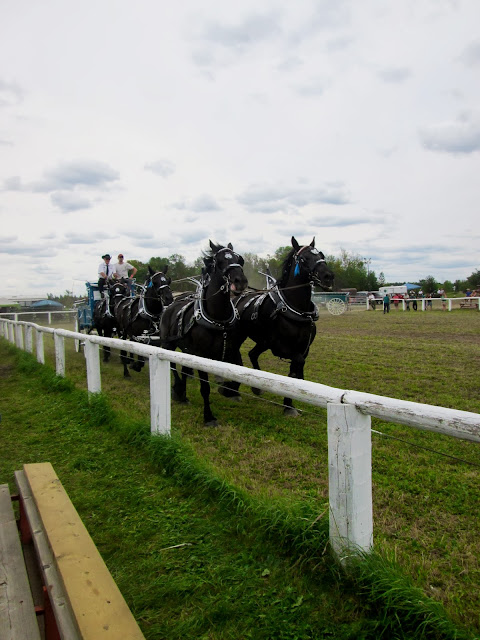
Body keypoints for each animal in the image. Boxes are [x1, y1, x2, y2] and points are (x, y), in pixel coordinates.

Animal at [160, 241, 248, 426]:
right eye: (219, 261)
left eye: (238, 259)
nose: (241, 281)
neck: (219, 320)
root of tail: (170, 306)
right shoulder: (201, 355)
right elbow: (205, 388)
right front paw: (208, 416)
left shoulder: (232, 350)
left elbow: (238, 376)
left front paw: (227, 391)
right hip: (168, 344)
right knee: (173, 366)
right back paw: (178, 390)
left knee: (185, 369)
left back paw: (183, 393)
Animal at [230, 236, 334, 416]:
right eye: (303, 258)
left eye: (321, 255)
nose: (328, 276)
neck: (295, 308)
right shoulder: (280, 348)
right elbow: (296, 367)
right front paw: (288, 405)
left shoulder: (303, 348)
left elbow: (297, 370)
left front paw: (290, 405)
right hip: (241, 337)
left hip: (263, 341)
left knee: (252, 354)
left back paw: (256, 388)